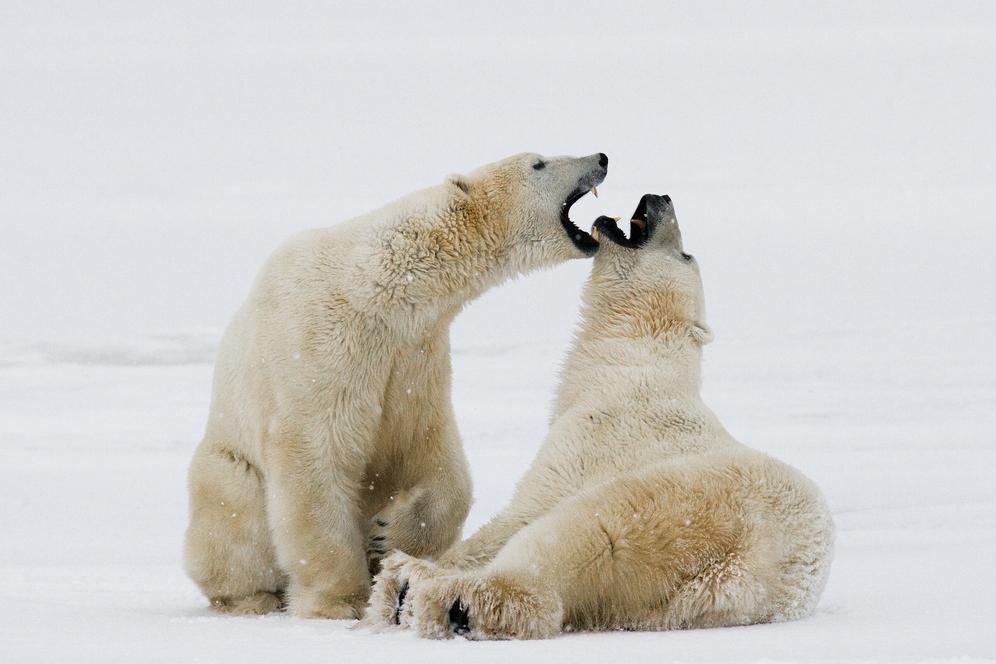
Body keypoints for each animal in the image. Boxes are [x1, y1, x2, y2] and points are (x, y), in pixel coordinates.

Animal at [183, 150, 612, 616]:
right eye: (539, 163)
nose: (601, 157)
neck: (380, 285)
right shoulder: (325, 347)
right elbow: (316, 457)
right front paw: (342, 600)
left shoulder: (414, 357)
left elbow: (428, 450)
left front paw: (387, 534)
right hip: (227, 468)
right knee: (231, 523)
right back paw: (252, 597)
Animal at [364, 192, 832, 640]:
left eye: (686, 255)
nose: (661, 197)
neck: (634, 364)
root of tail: (757, 561)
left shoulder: (598, 433)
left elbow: (521, 513)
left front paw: (410, 561)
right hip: (690, 601)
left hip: (675, 502)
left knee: (574, 542)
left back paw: (433, 595)